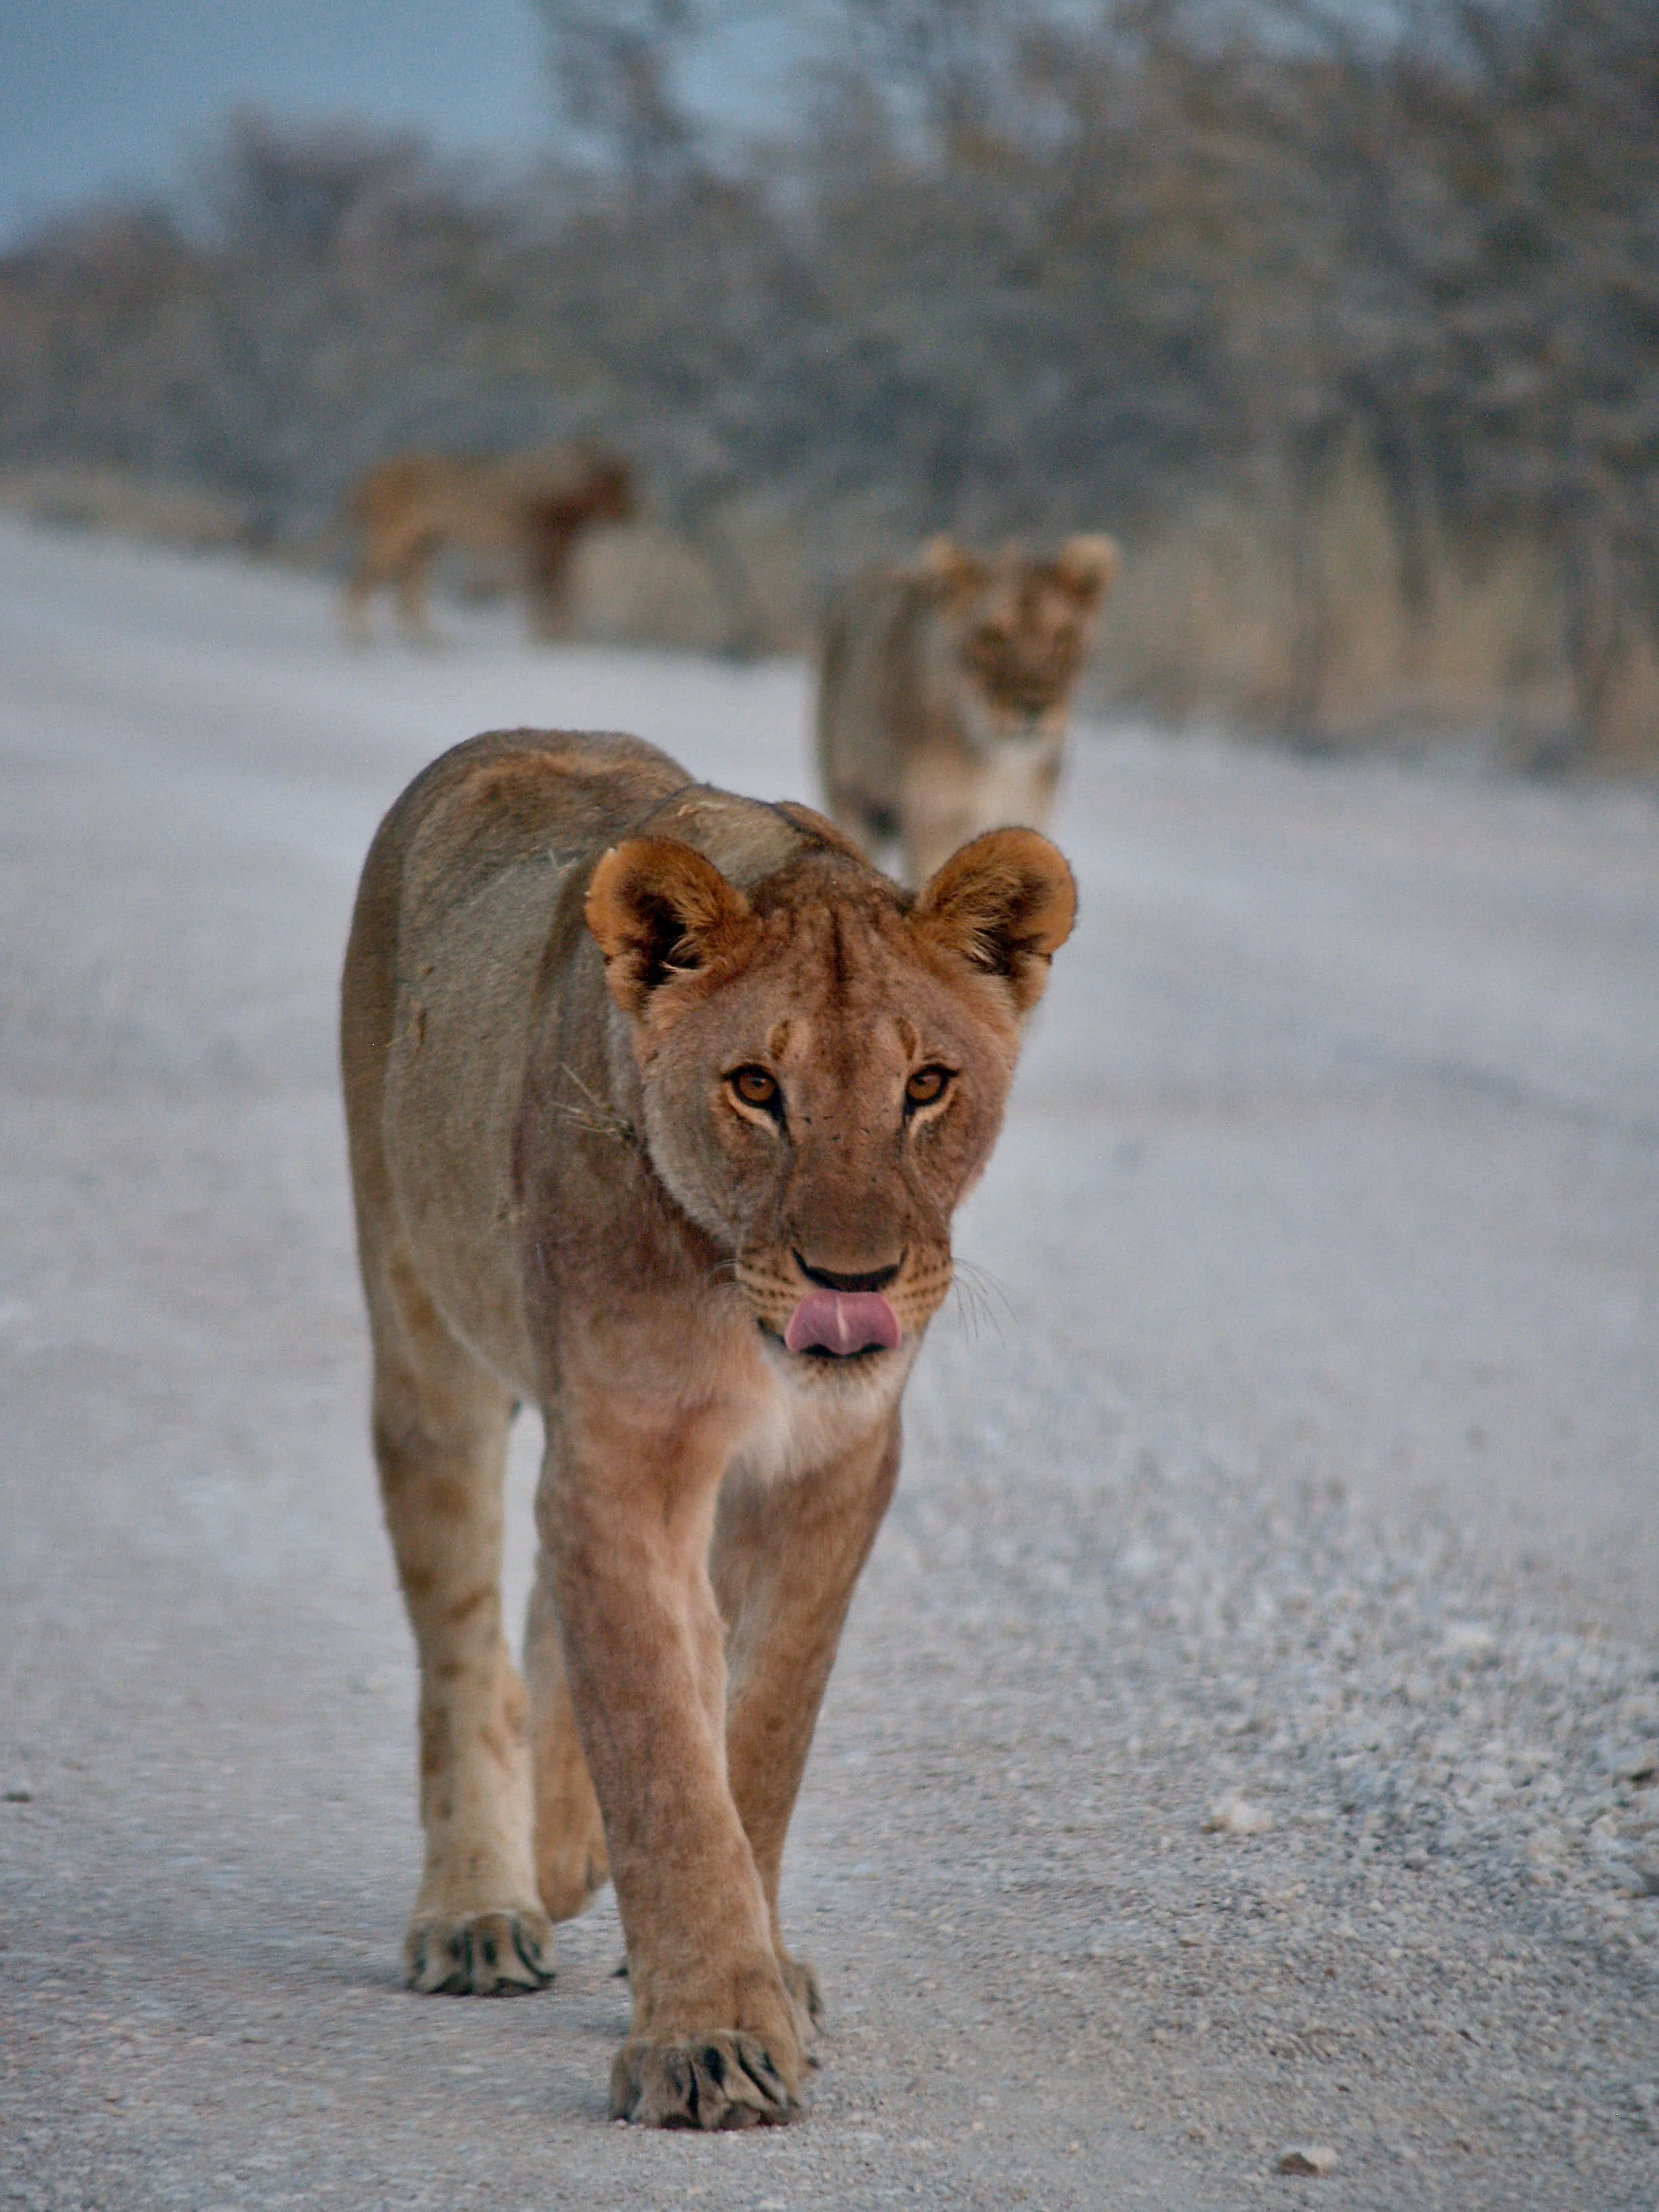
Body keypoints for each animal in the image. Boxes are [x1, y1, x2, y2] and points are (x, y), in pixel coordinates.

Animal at [340, 444, 634, 645]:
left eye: (627, 486)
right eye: (615, 487)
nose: (630, 512)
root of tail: (368, 477)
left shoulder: (544, 551)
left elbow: (552, 597)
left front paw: (554, 637)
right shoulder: (545, 548)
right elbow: (551, 598)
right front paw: (554, 639)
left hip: (423, 546)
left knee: (404, 599)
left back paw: (429, 644)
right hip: (393, 540)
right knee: (360, 585)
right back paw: (359, 640)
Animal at [340, 727, 1075, 2128]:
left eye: (925, 1084)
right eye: (753, 1086)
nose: (851, 1281)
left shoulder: (832, 1470)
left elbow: (759, 1732)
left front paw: (759, 1970)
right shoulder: (621, 1459)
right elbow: (666, 1758)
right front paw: (709, 2038)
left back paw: (566, 1853)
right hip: (422, 1336)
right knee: (463, 1633)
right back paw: (478, 1905)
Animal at [817, 532, 1120, 885]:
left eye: (1063, 637)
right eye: (991, 637)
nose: (1034, 706)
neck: (1002, 761)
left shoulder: (1027, 818)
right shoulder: (936, 825)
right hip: (852, 798)